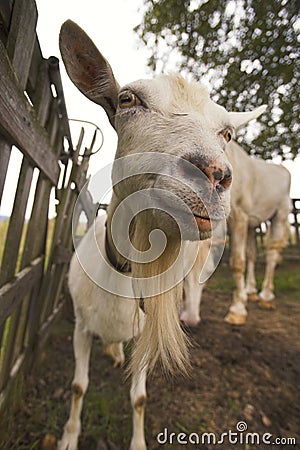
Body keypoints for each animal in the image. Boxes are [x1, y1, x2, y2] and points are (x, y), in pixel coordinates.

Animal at [57, 19, 266, 448]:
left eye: (228, 133)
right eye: (127, 99)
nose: (213, 174)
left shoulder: (141, 336)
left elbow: (138, 398)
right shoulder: (80, 328)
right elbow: (78, 386)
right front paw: (68, 436)